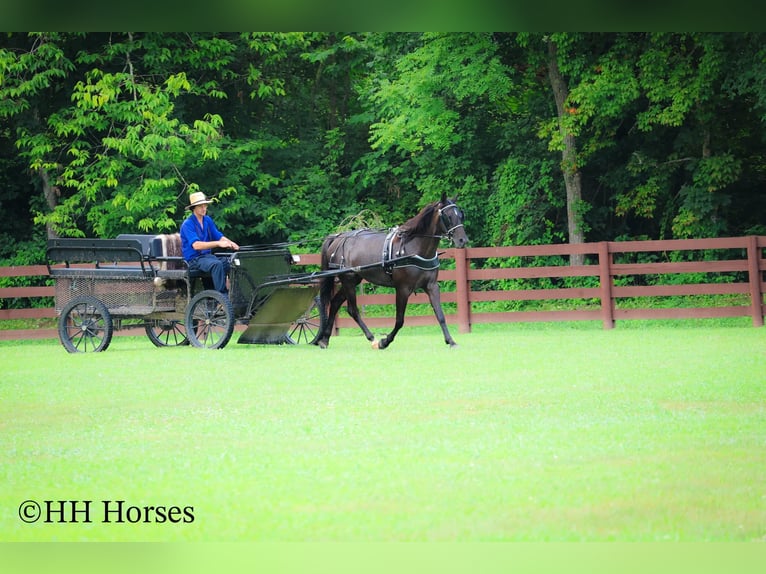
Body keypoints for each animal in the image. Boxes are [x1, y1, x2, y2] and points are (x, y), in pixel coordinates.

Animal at [312, 193, 468, 350]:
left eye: (460, 215)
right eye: (448, 216)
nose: (463, 240)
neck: (415, 248)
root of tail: (338, 237)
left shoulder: (432, 286)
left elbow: (440, 315)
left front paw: (451, 341)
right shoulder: (403, 289)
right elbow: (400, 320)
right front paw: (385, 341)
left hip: (353, 280)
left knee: (335, 303)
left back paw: (325, 339)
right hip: (348, 280)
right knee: (353, 310)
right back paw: (372, 338)